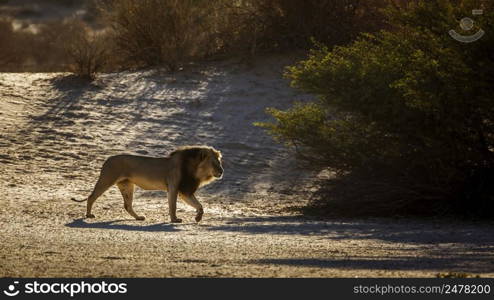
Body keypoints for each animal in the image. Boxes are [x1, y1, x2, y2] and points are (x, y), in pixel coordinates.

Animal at [73, 145, 224, 223]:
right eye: (214, 163)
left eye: (219, 162)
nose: (222, 171)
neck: (196, 171)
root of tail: (107, 159)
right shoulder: (174, 187)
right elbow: (173, 206)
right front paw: (175, 220)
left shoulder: (184, 191)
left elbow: (199, 205)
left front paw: (198, 217)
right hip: (106, 179)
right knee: (91, 197)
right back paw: (88, 215)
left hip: (127, 185)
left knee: (127, 205)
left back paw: (139, 217)